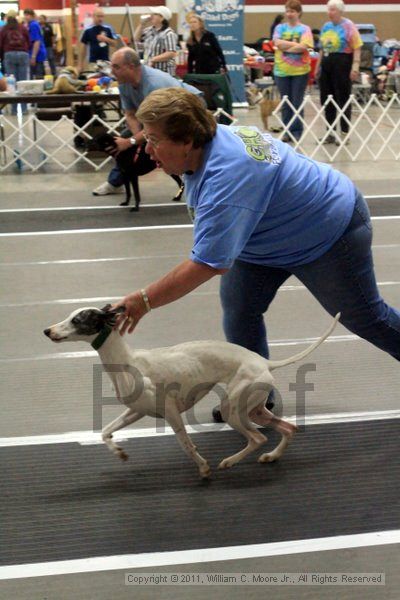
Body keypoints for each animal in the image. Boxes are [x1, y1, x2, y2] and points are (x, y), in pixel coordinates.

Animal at [43, 308, 340, 476]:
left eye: (77, 319)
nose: (47, 330)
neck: (127, 361)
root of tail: (264, 361)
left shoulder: (171, 413)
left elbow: (185, 444)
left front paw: (203, 467)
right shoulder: (136, 411)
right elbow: (105, 431)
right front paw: (119, 452)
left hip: (234, 411)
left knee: (258, 438)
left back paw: (229, 462)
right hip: (255, 409)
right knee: (289, 428)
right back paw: (272, 456)